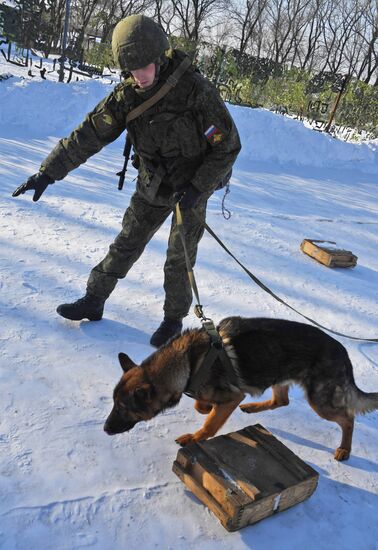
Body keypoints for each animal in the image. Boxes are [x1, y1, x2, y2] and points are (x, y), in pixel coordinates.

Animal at [104, 316, 378, 464]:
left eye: (124, 408)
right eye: (113, 403)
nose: (105, 429)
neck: (187, 362)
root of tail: (343, 352)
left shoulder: (232, 397)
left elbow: (210, 425)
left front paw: (194, 438)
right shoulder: (224, 396)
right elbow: (202, 406)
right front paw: (206, 407)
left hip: (320, 402)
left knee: (348, 418)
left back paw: (345, 449)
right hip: (277, 376)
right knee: (281, 401)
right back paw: (252, 408)